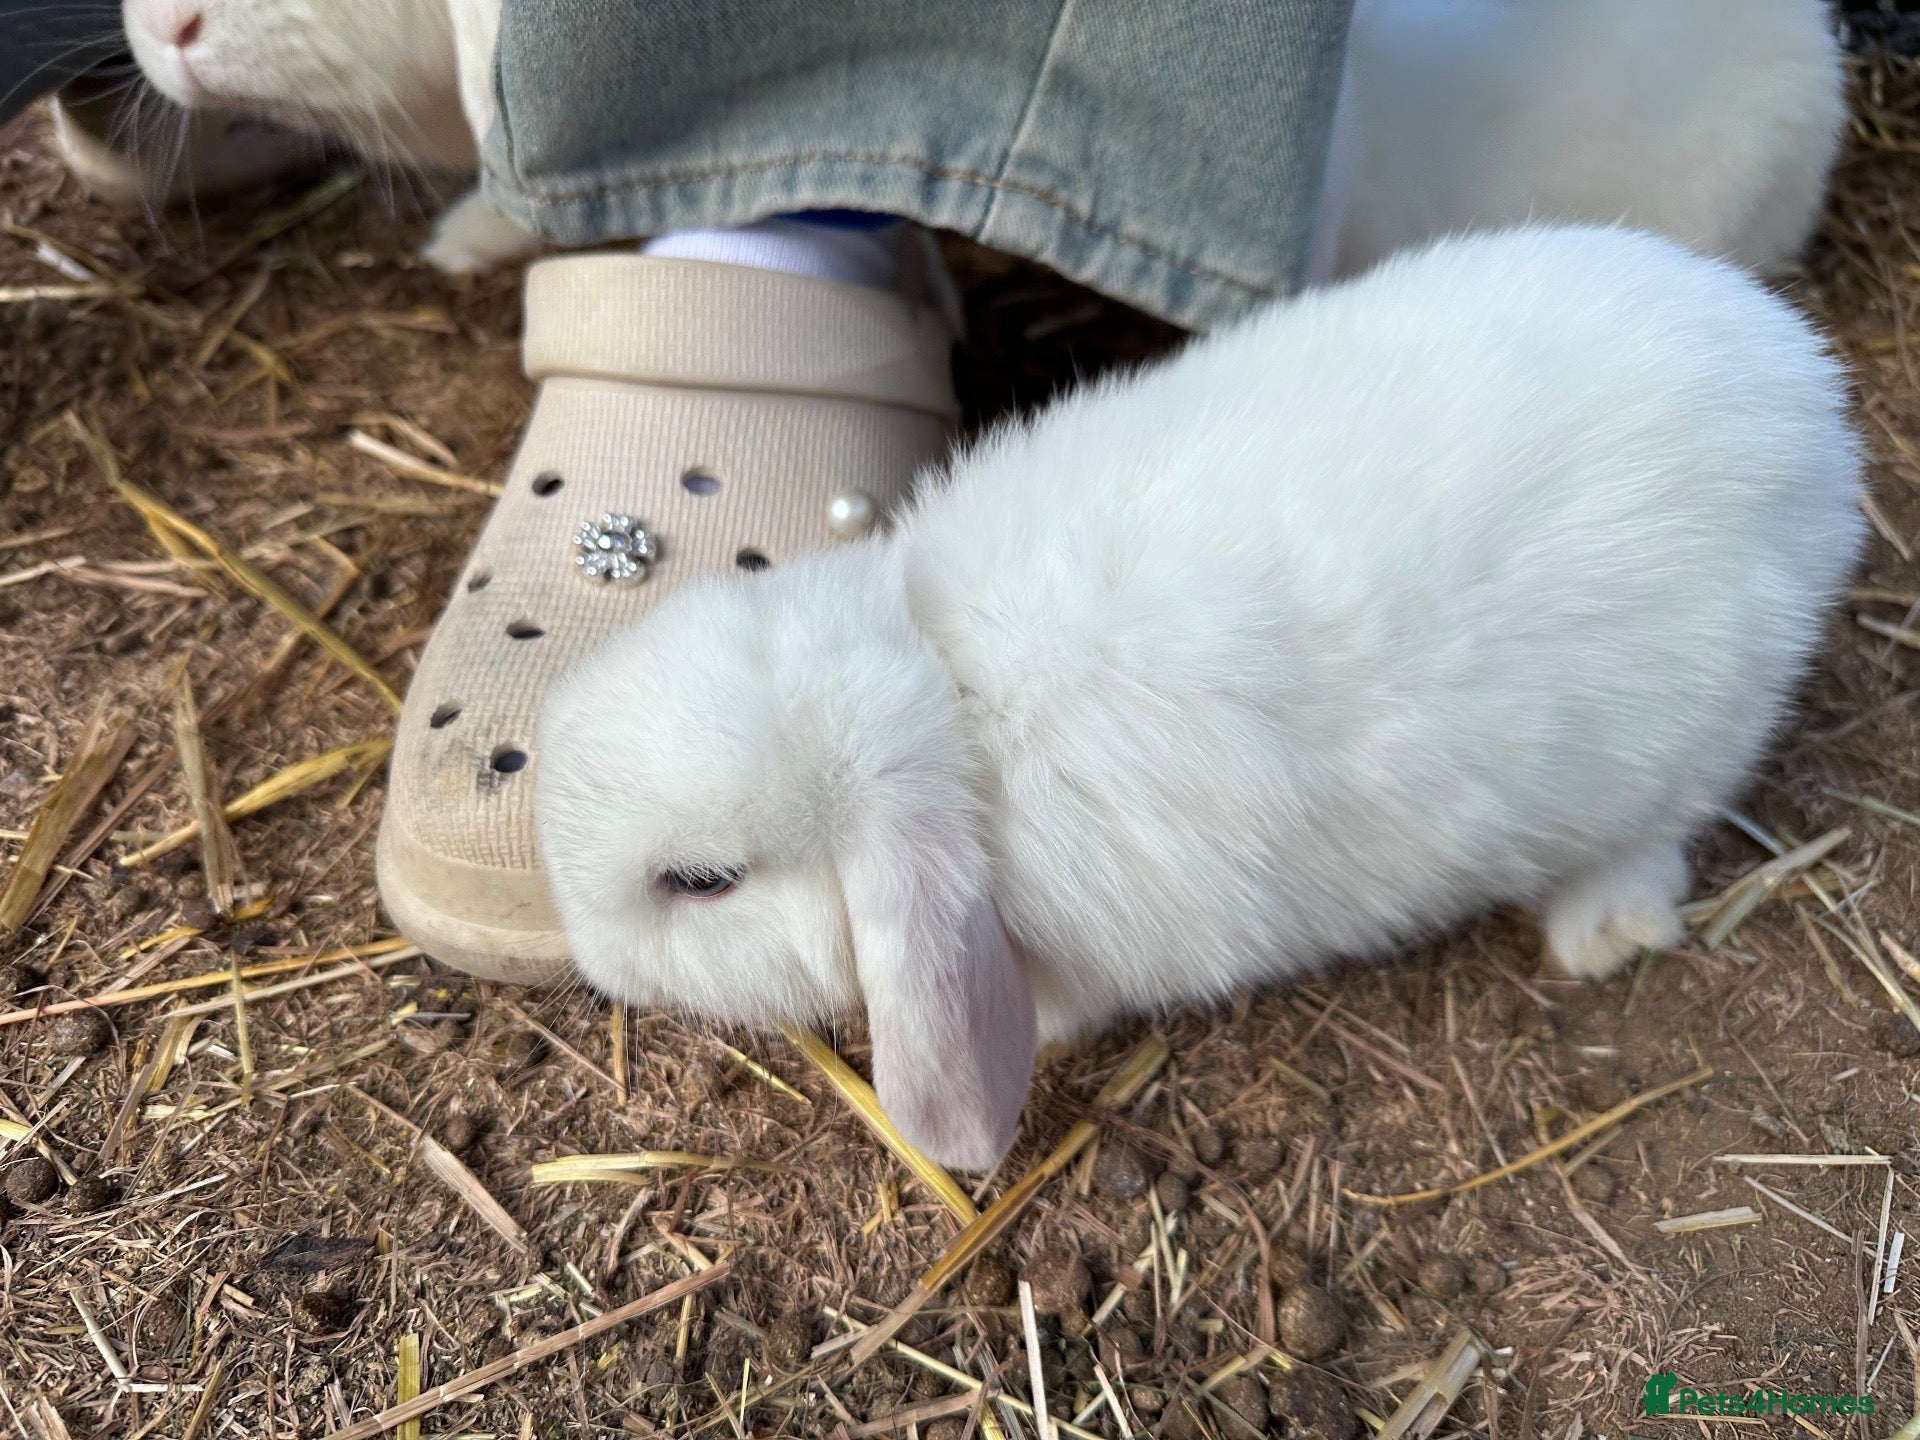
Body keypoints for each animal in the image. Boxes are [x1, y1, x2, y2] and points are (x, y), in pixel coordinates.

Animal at [534, 224, 1864, 1170]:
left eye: (702, 882)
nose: (584, 951)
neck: (950, 701)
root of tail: (1806, 400)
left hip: (1689, 739)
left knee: (1661, 833)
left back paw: (1601, 931)